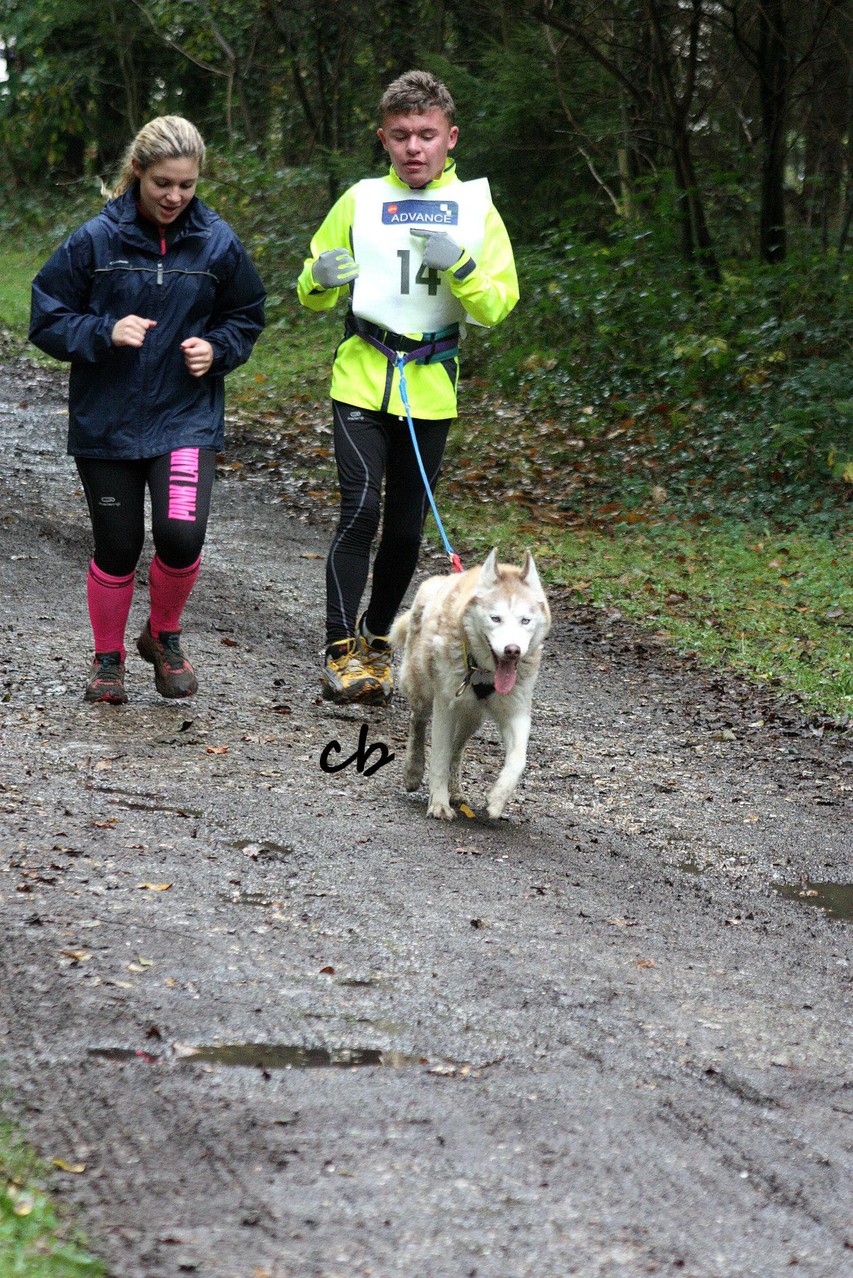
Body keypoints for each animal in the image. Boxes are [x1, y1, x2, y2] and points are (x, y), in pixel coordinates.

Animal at [388, 549, 549, 817]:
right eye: (496, 618)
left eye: (525, 620)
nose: (512, 650)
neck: (484, 671)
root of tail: (437, 581)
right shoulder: (445, 706)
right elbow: (439, 757)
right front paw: (439, 803)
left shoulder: (516, 711)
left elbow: (518, 759)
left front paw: (498, 798)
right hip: (422, 691)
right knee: (418, 724)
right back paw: (414, 769)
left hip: (471, 717)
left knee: (457, 748)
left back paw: (455, 790)